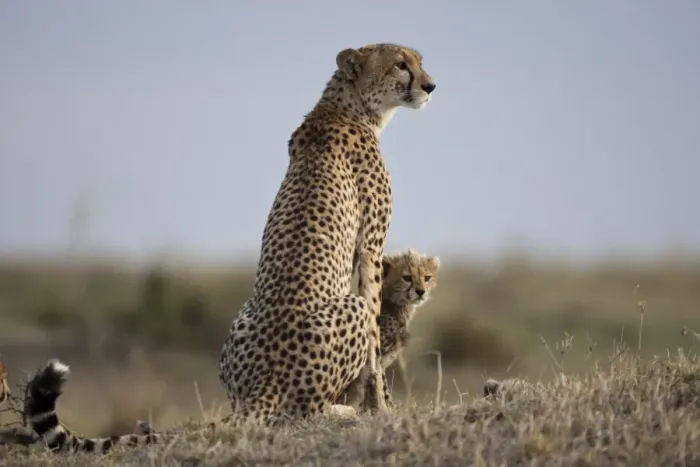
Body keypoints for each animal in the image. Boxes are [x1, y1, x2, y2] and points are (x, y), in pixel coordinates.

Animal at [336, 248, 440, 409]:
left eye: (427, 277)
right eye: (407, 278)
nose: (421, 291)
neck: (396, 304)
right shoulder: (377, 353)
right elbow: (381, 383)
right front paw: (388, 406)